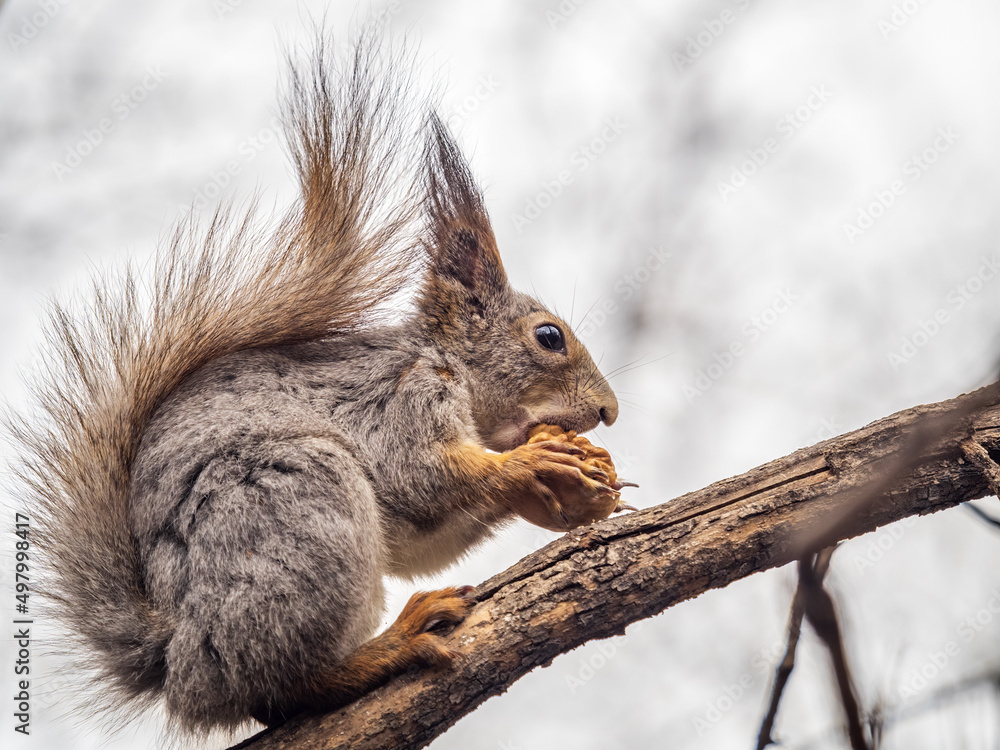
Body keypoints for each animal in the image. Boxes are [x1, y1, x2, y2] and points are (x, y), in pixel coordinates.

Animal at [8, 34, 628, 736]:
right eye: (549, 337)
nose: (608, 412)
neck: (448, 366)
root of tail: (177, 663)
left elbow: (422, 536)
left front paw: (573, 494)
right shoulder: (403, 397)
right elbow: (418, 475)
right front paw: (535, 461)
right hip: (300, 506)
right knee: (285, 686)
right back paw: (394, 643)